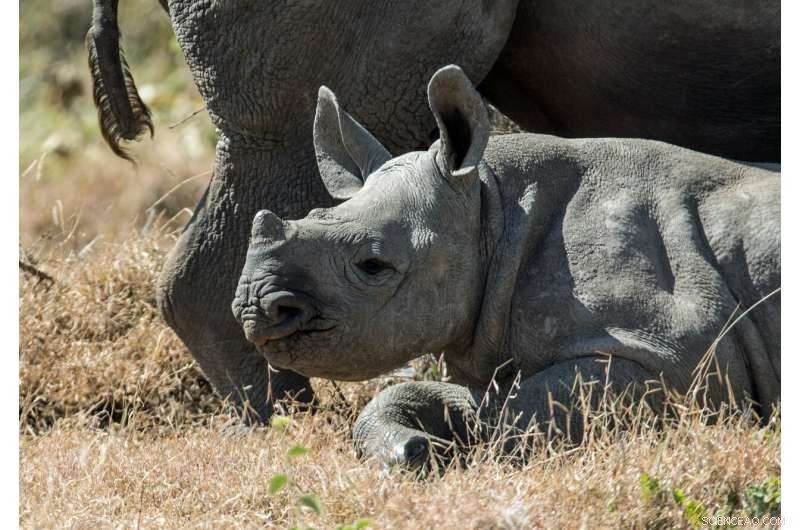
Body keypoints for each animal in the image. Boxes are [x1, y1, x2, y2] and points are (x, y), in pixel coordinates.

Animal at [232, 65, 780, 467]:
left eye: (373, 265)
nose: (253, 308)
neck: (490, 209)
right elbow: (458, 398)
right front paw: (411, 449)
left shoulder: (672, 355)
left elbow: (522, 412)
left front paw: (441, 452)